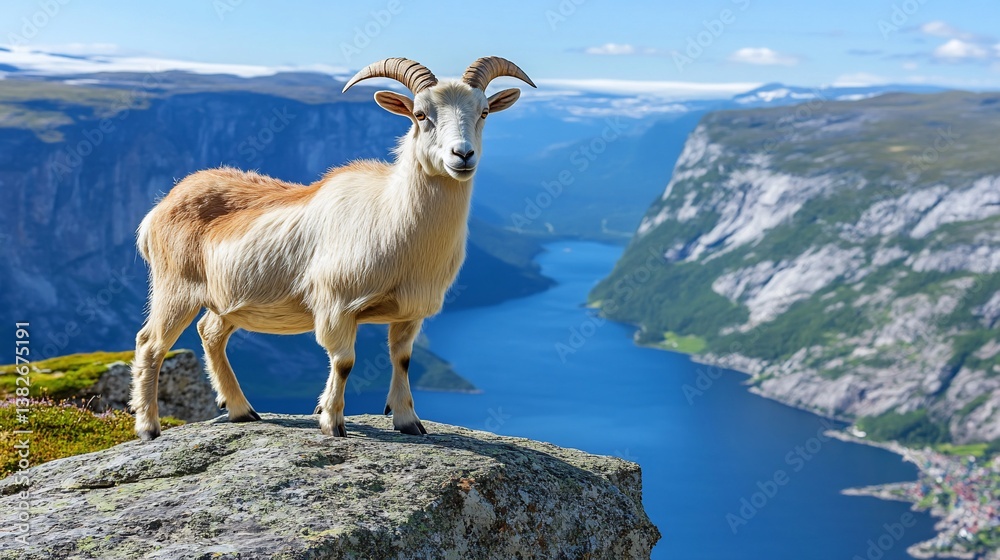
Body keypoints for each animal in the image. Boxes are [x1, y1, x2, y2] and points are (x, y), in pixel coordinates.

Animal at [130, 57, 534, 440]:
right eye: (420, 115)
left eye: (484, 112)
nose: (462, 155)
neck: (391, 215)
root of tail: (161, 206)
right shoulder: (336, 304)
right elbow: (343, 362)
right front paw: (332, 422)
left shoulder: (410, 312)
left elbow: (402, 359)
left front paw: (408, 421)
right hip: (174, 286)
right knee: (150, 343)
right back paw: (148, 427)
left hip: (226, 298)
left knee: (210, 333)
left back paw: (242, 410)